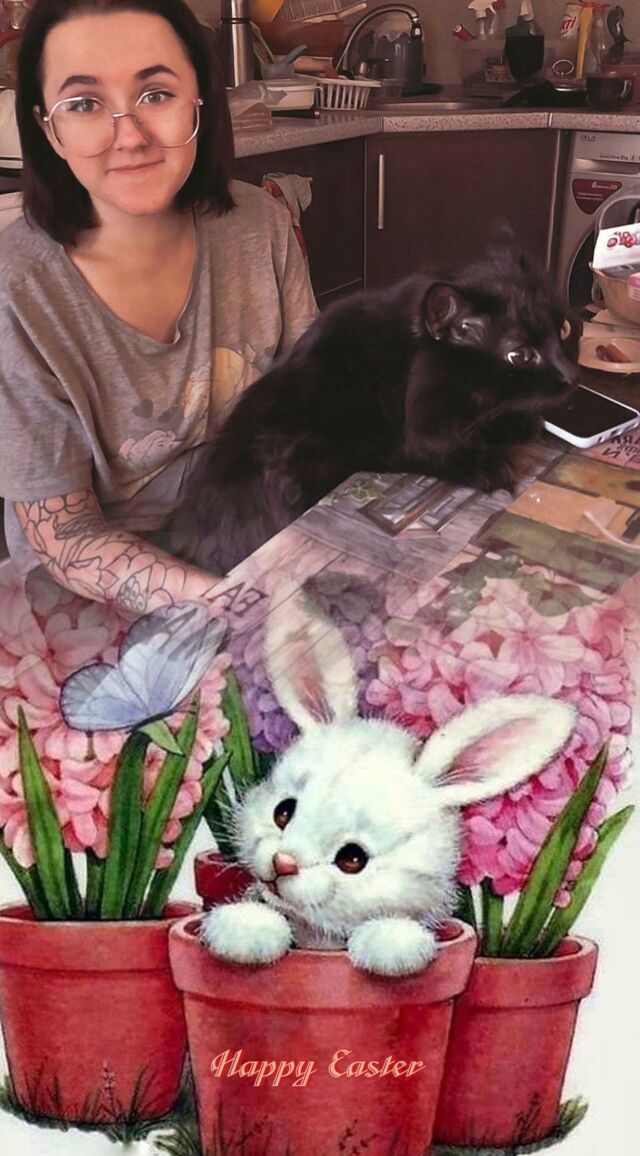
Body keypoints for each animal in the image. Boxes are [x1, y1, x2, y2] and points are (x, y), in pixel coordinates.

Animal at [169, 231, 579, 573]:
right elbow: (431, 449)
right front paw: (489, 463)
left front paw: (519, 424)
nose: (572, 376)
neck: (396, 367)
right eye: (520, 356)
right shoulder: (343, 449)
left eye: (564, 329)